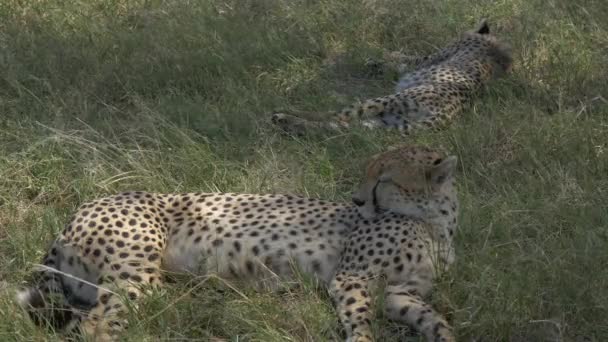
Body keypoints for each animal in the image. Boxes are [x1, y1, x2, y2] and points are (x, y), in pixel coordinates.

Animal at [16, 145, 458, 342]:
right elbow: (360, 318)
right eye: (370, 174)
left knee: (83, 321)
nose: (357, 200)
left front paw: (445, 335)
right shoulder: (353, 277)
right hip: (137, 274)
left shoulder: (400, 293)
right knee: (97, 325)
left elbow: (432, 318)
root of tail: (82, 207)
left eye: (383, 179)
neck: (435, 225)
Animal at [272, 19, 512, 135]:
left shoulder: (430, 57)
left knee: (336, 115)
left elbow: (404, 57)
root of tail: (446, 114)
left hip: (384, 102)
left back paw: (285, 115)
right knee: (343, 127)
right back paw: (291, 124)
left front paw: (378, 60)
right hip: (385, 122)